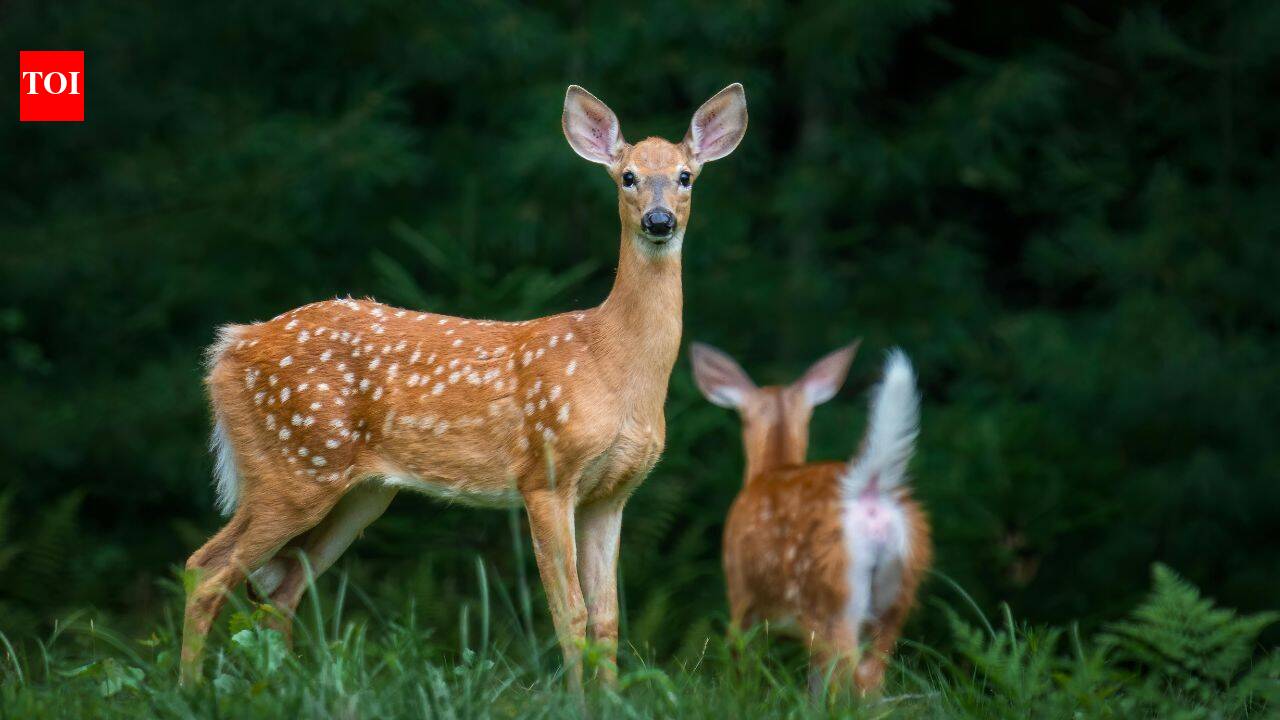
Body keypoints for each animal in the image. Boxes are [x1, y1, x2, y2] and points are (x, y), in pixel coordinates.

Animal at [180, 83, 749, 690]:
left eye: (686, 175)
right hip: (291, 467)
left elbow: (608, 618)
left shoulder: (612, 494)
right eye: (628, 177)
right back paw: (190, 690)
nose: (659, 220)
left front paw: (611, 699)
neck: (613, 363)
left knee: (278, 588)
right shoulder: (545, 474)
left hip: (358, 492)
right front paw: (576, 700)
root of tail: (229, 347)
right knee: (207, 569)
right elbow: (568, 612)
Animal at [690, 341, 932, 695]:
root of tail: (869, 491)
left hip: (830, 595)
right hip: (898, 592)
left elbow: (741, 661)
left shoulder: (740, 593)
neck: (771, 469)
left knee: (849, 676)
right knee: (870, 676)